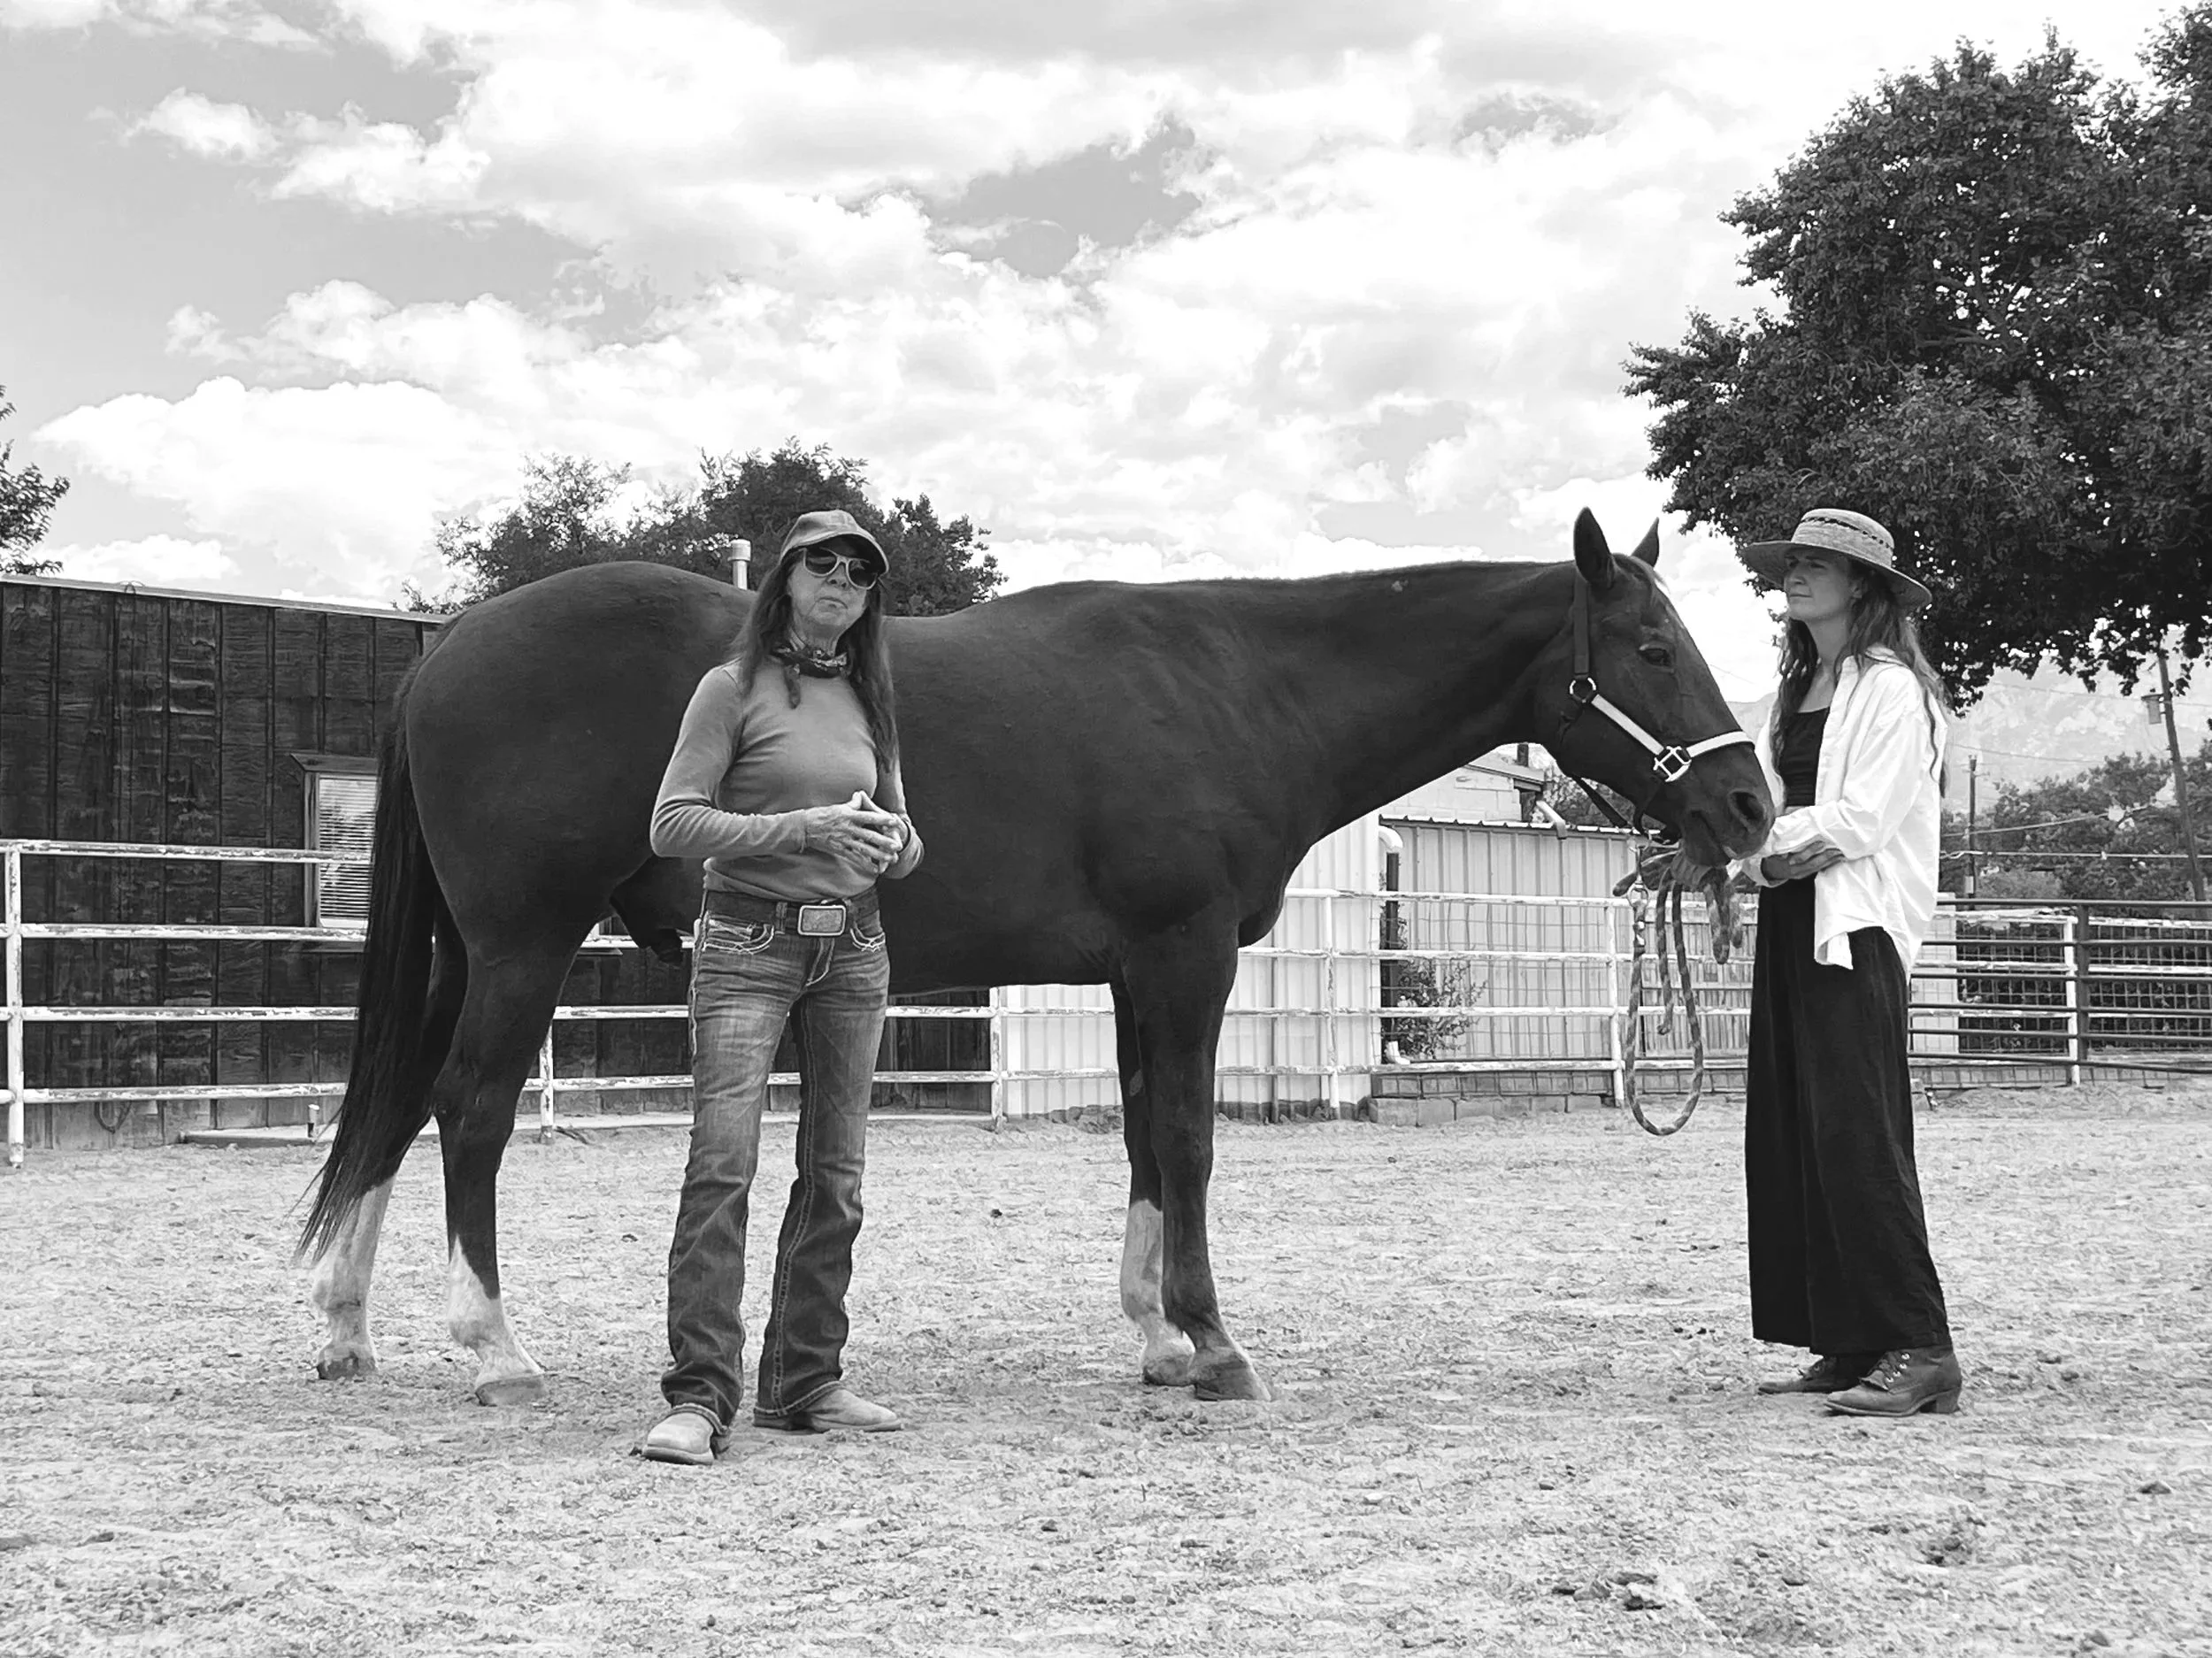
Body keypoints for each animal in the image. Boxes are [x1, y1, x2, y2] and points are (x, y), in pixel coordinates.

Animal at [298, 510, 1773, 1407]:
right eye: (1652, 646)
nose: (1750, 806)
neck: (1239, 687)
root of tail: (448, 651)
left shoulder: (1137, 970)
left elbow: (1143, 1134)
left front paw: (1159, 1332)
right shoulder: (1185, 956)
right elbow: (1188, 1138)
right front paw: (1214, 1342)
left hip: (469, 951)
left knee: (402, 1103)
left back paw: (348, 1322)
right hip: (524, 943)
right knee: (472, 1110)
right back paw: (491, 1348)